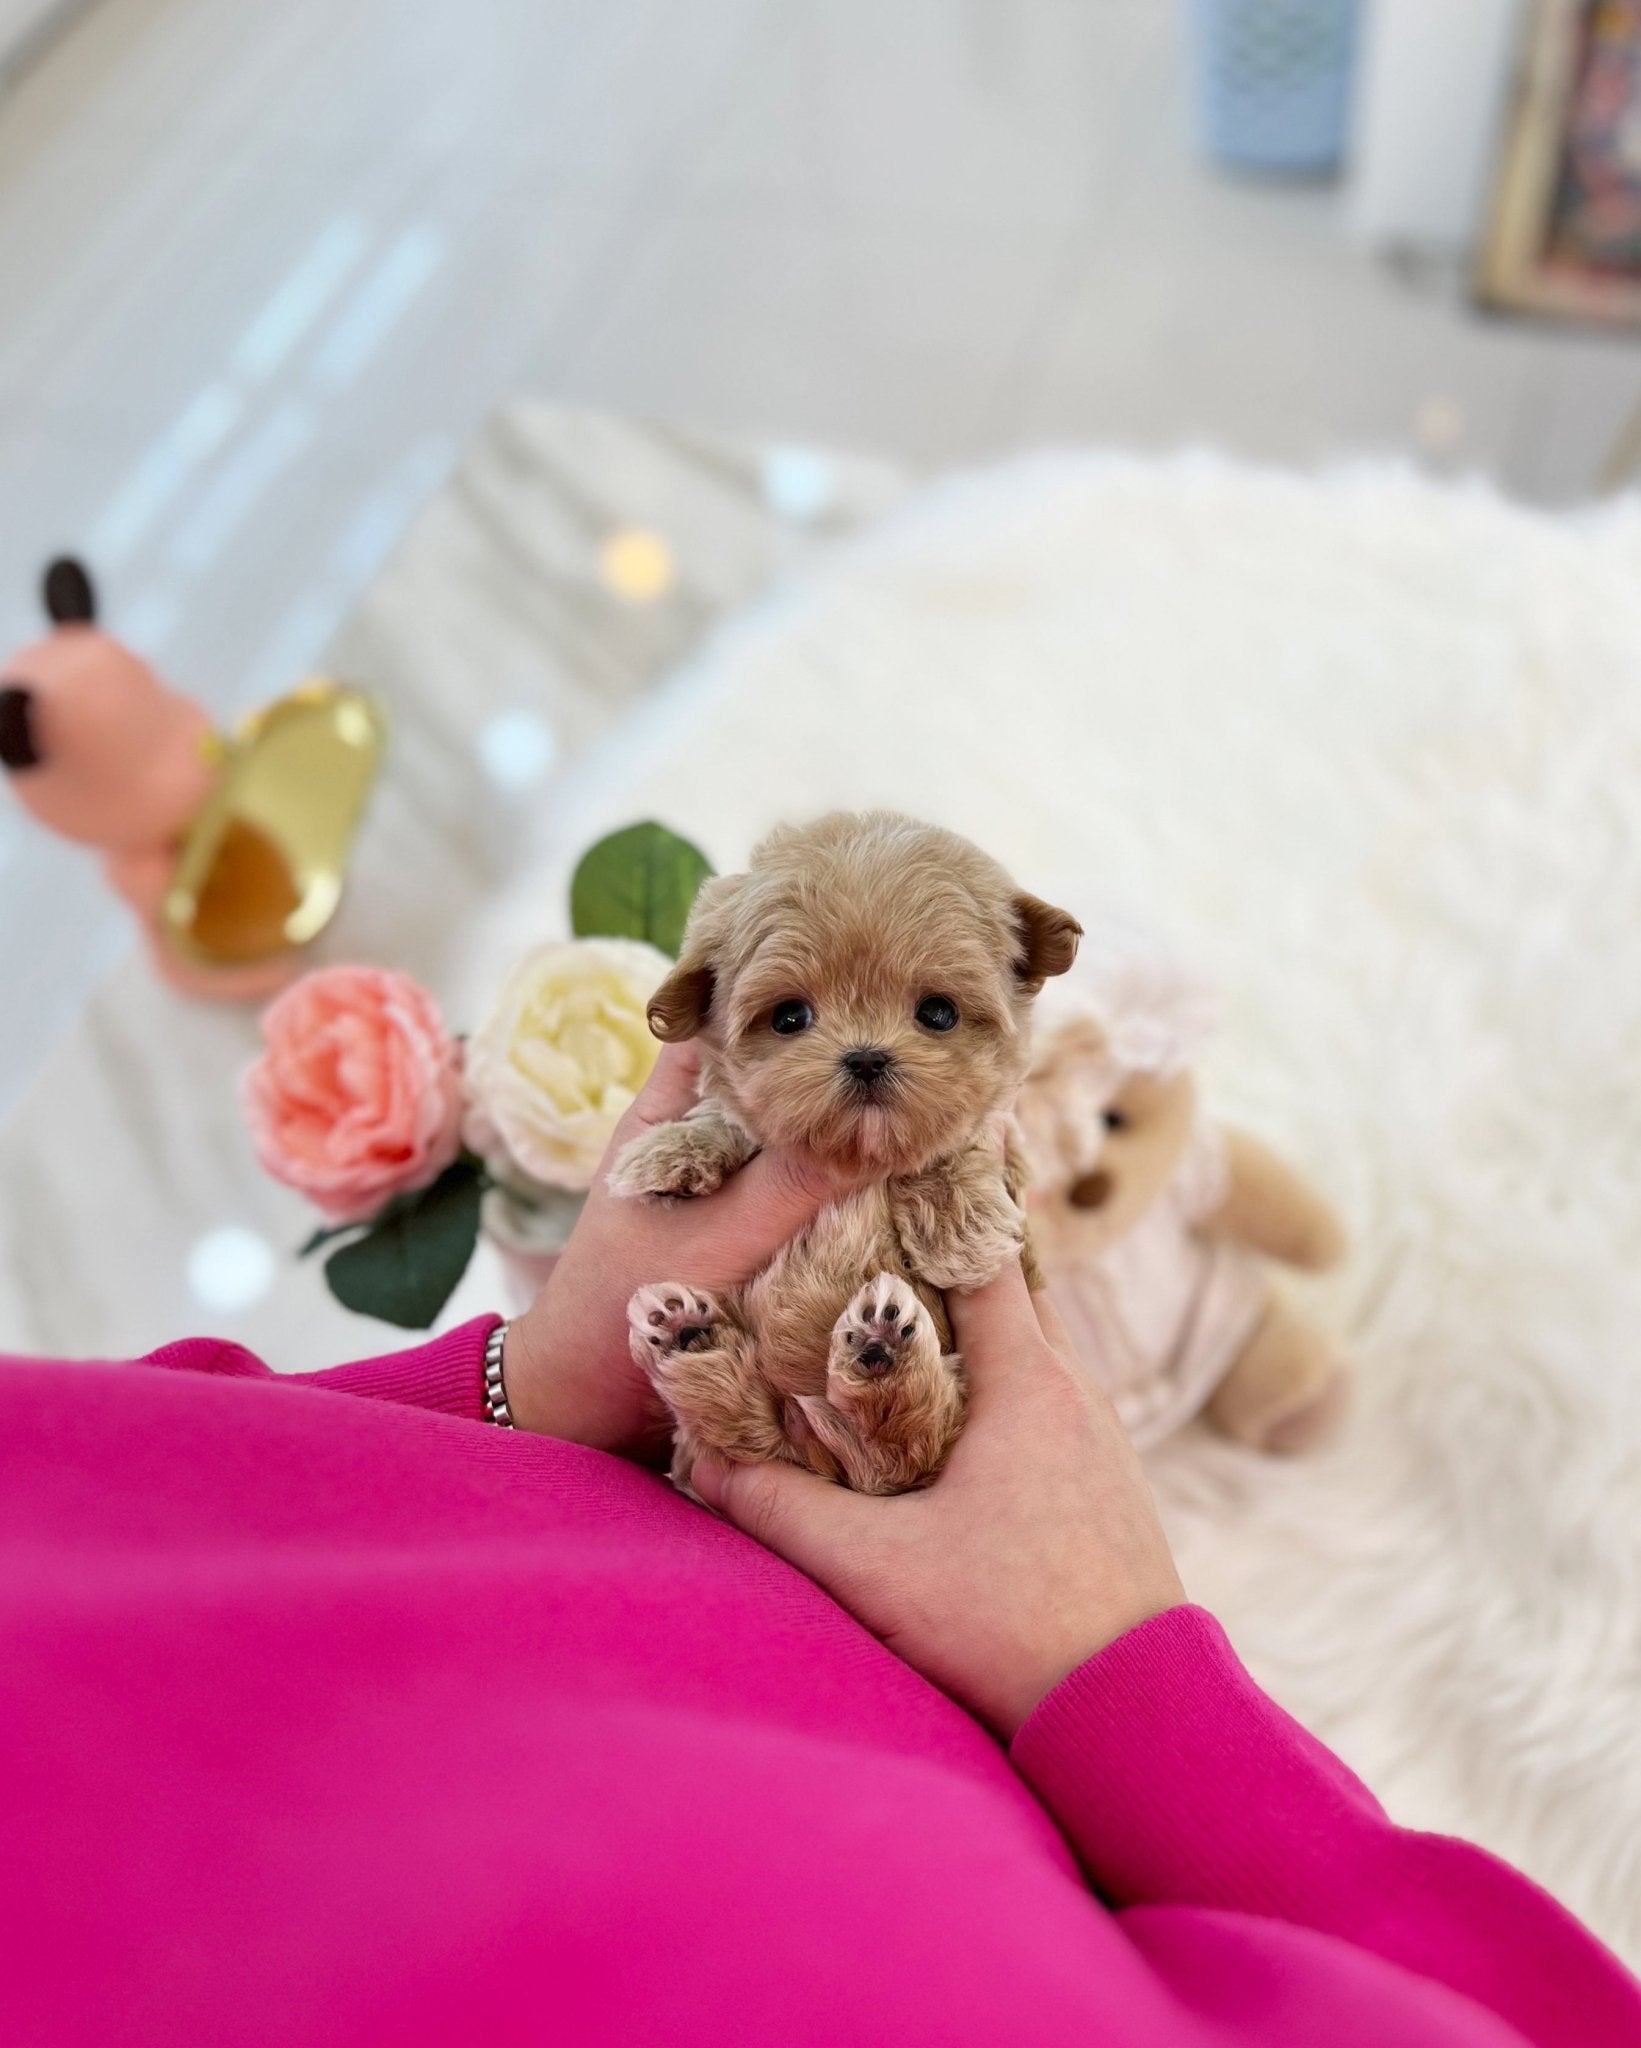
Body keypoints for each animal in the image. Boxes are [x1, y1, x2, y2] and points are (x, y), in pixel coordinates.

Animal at [606, 806, 1081, 1499]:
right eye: (789, 1017)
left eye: (938, 1013)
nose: (865, 1057)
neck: (860, 1161)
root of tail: (822, 1456)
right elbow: (729, 1117)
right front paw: (670, 1150)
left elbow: (956, 1147)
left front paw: (963, 1229)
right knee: (748, 1424)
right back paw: (690, 1339)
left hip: (920, 1438)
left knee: (900, 1445)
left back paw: (881, 1358)